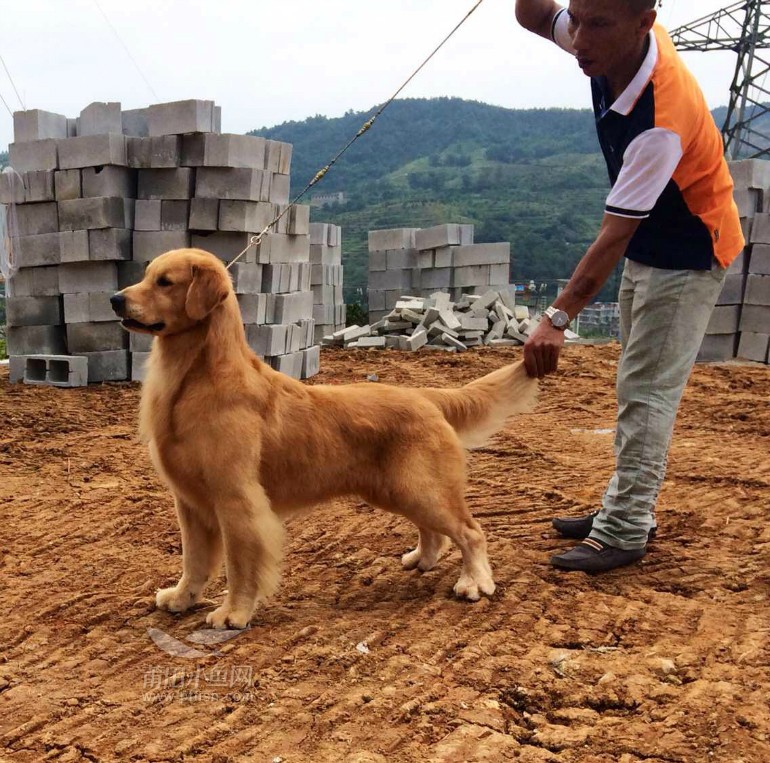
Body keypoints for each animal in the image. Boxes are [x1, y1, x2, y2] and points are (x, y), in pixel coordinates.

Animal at [111, 248, 536, 628]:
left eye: (165, 282)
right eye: (146, 275)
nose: (115, 299)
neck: (196, 377)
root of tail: (426, 396)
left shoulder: (237, 499)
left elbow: (240, 564)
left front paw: (234, 613)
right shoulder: (189, 501)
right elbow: (193, 560)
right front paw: (182, 597)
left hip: (420, 488)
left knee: (470, 532)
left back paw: (474, 581)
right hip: (400, 489)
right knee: (436, 531)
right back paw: (422, 559)